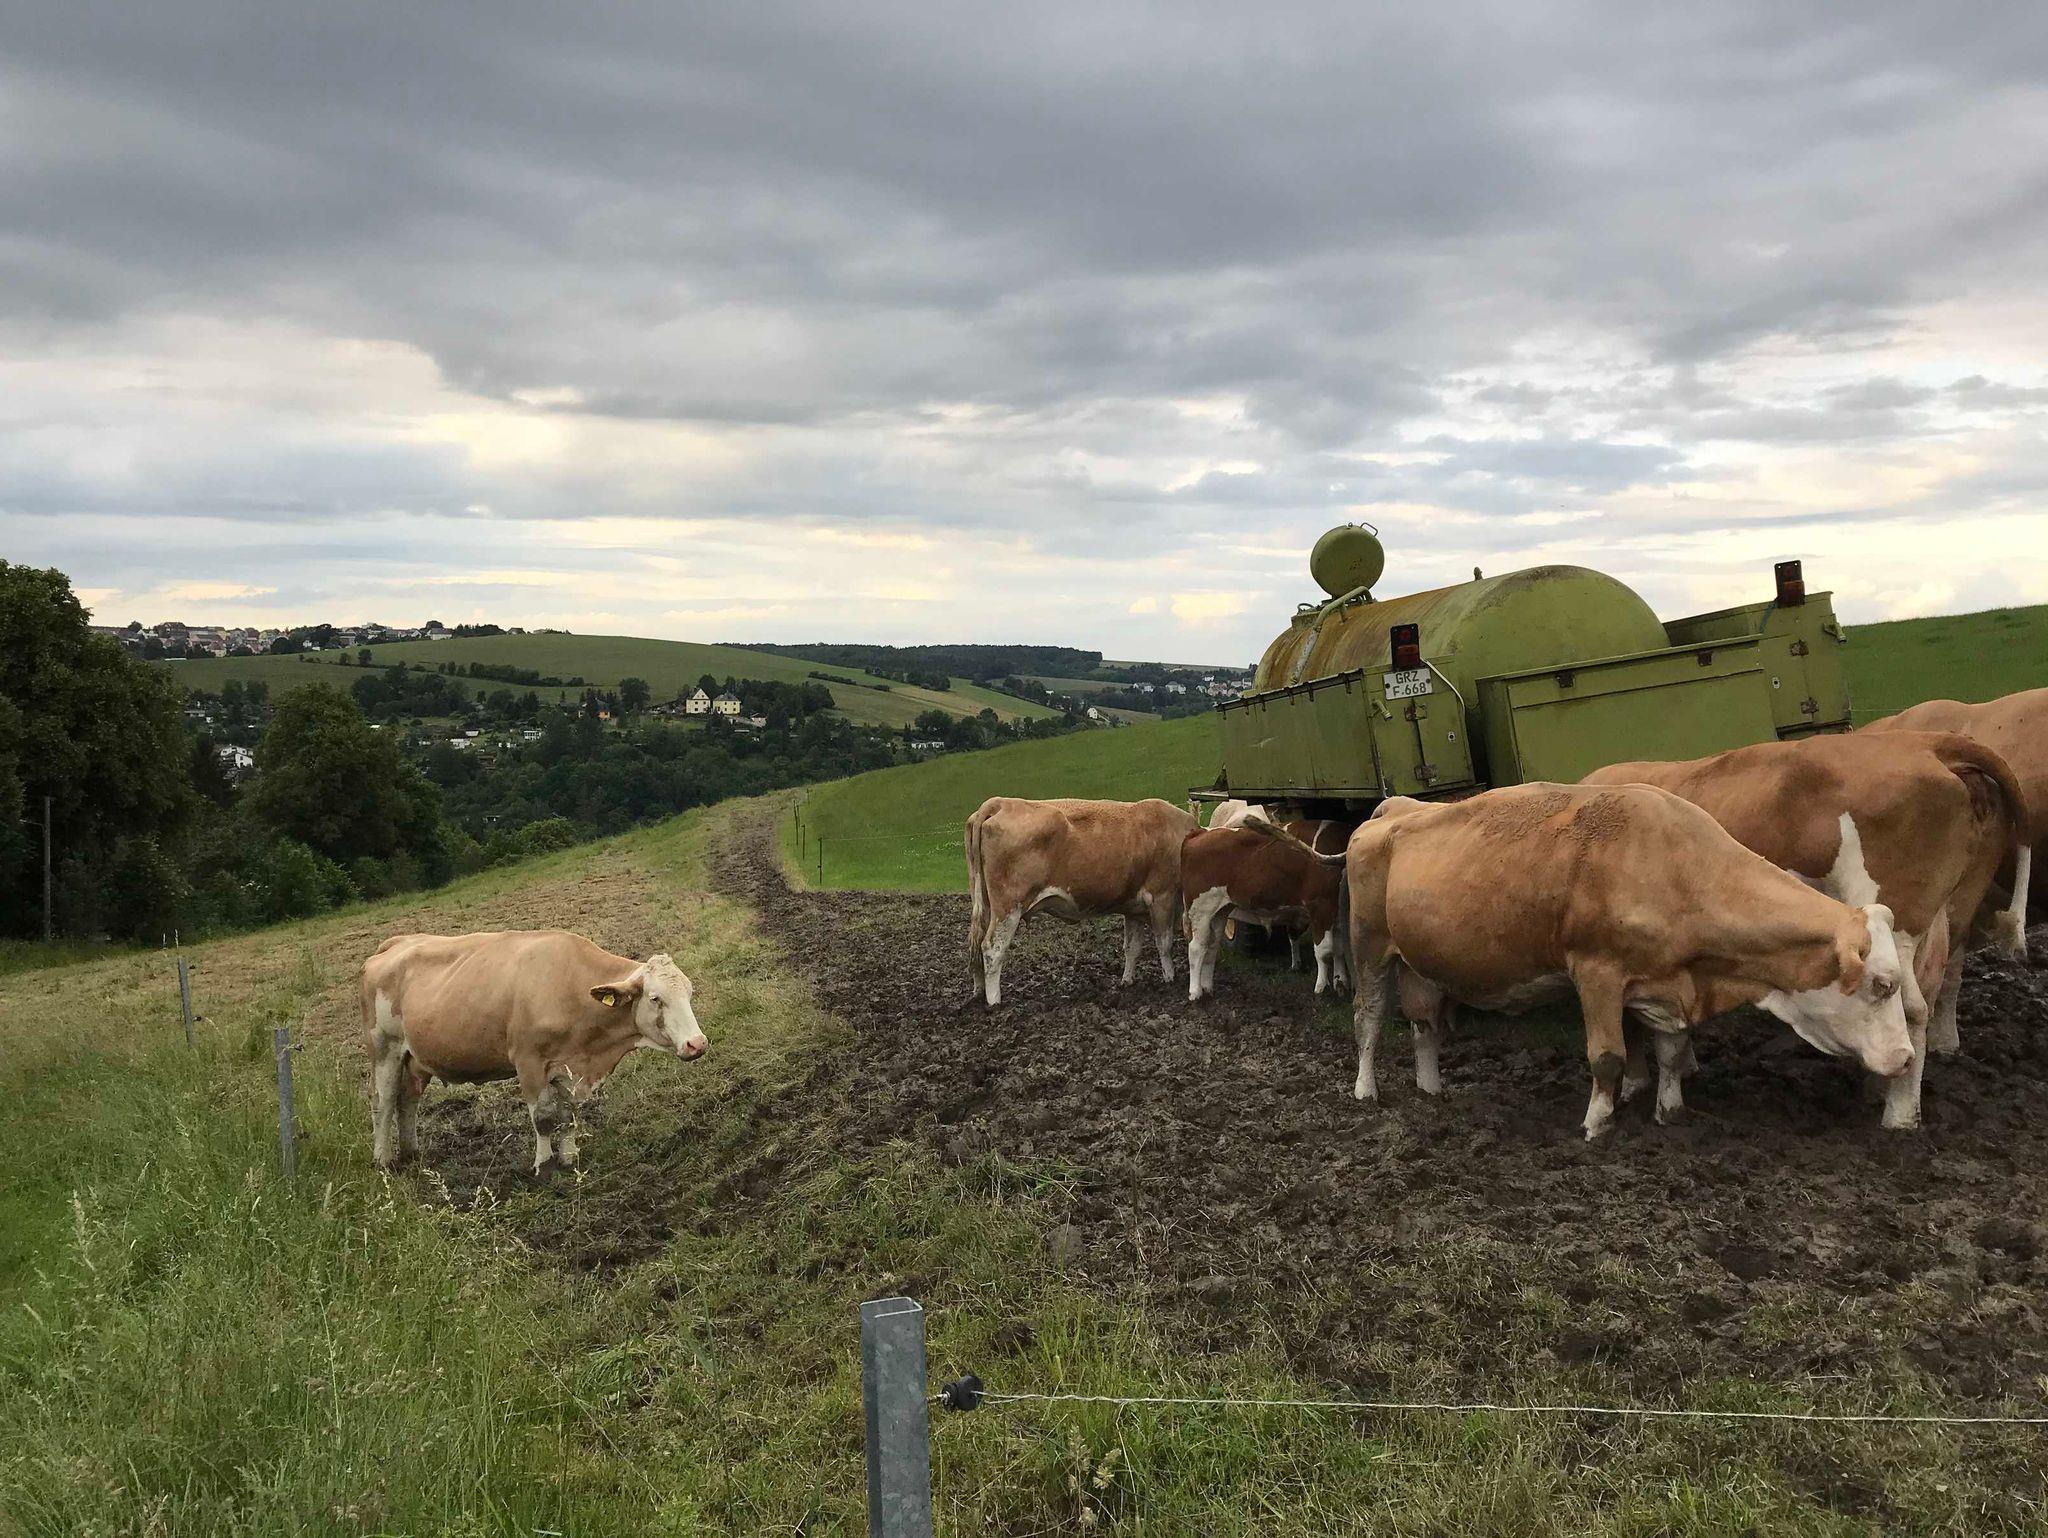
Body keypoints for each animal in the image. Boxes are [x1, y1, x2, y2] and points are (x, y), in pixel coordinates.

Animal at [362, 930, 708, 1173]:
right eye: (655, 998)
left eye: (690, 993)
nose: (697, 1043)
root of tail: (398, 942)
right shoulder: (528, 1062)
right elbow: (543, 1118)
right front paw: (544, 1166)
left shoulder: (569, 1066)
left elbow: (568, 1115)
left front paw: (569, 1157)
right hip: (384, 1048)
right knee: (383, 1102)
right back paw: (383, 1160)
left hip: (415, 1059)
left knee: (408, 1101)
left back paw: (411, 1153)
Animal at [966, 796, 1199, 1007]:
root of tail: (1000, 802)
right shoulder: (1162, 896)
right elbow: (1164, 943)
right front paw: (1170, 980)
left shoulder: (1133, 908)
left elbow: (1132, 947)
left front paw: (1127, 981)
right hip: (1009, 907)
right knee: (992, 948)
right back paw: (994, 1001)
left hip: (985, 904)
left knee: (977, 944)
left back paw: (979, 992)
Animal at [1181, 821, 1346, 1000]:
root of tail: (1202, 831)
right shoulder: (1321, 905)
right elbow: (1324, 950)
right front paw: (1321, 988)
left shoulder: (1338, 914)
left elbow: (1339, 948)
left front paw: (1340, 982)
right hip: (1201, 909)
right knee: (1197, 947)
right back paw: (1195, 992)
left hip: (1220, 911)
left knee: (1212, 946)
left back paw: (1207, 988)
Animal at [1297, 783, 1913, 1141]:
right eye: (1882, 984)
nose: (1907, 1058)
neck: (1676, 866)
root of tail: (1392, 811)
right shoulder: (1596, 974)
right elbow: (1609, 1057)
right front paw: (1598, 1121)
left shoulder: (1665, 984)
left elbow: (1671, 1051)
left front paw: (1670, 1109)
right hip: (1370, 947)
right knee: (1368, 1018)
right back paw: (1366, 1090)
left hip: (1421, 960)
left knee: (1424, 1023)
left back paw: (1431, 1089)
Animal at [1585, 732, 2031, 1128]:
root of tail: (1925, 741)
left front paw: (1635, 1084)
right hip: (1943, 913)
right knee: (1936, 986)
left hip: (1889, 917)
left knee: (1910, 1006)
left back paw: (1898, 1116)